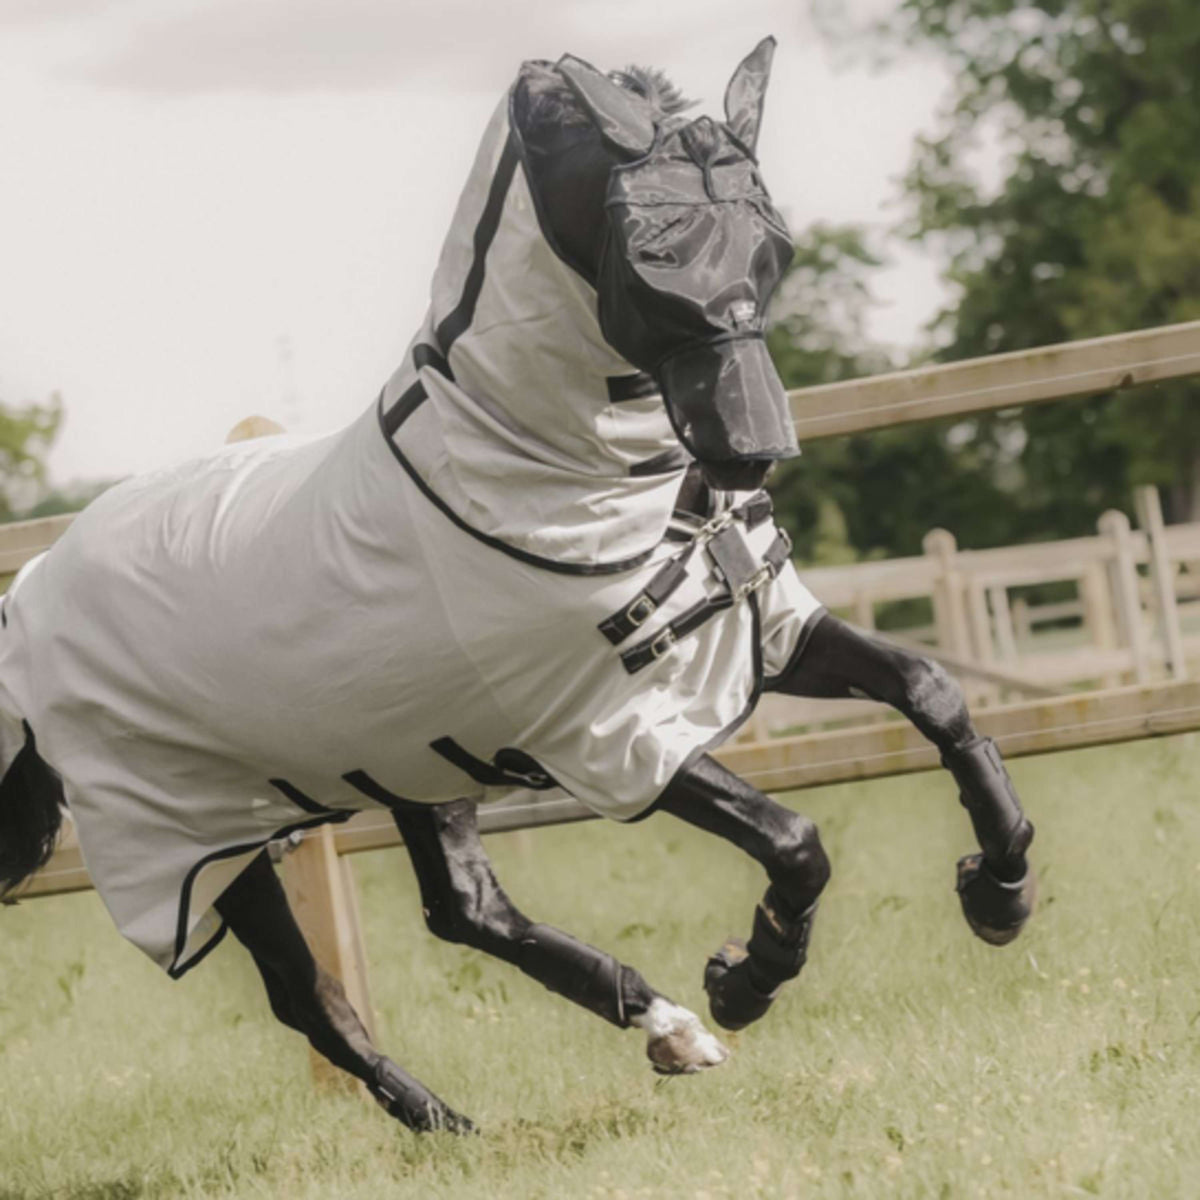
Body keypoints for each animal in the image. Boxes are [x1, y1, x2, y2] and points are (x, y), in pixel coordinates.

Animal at [0, 42, 1032, 1132]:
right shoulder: (604, 735)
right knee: (308, 995)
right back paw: (469, 1113)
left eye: (772, 239)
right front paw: (745, 978)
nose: (753, 448)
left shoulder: (760, 635)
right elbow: (797, 839)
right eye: (649, 250)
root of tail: (31, 597)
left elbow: (932, 691)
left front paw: (1000, 891)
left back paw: (647, 1037)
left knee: (465, 911)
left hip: (406, 765)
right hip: (200, 843)